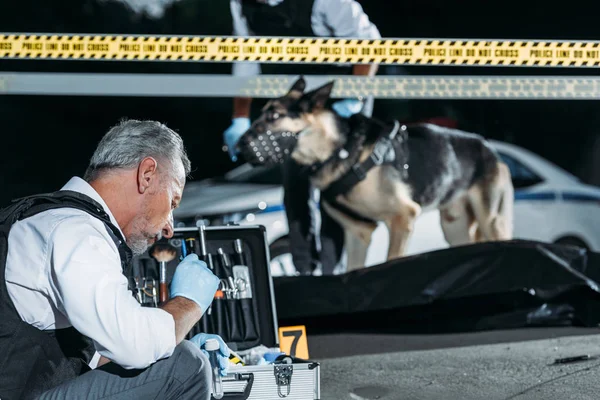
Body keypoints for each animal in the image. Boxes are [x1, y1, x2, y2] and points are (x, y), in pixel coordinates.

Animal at [237, 77, 512, 272]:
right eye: (261, 114)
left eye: (274, 116)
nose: (238, 145)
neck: (341, 150)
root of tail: (489, 148)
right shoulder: (358, 234)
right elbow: (351, 270)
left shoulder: (403, 218)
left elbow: (391, 260)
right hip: (454, 227)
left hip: (492, 221)